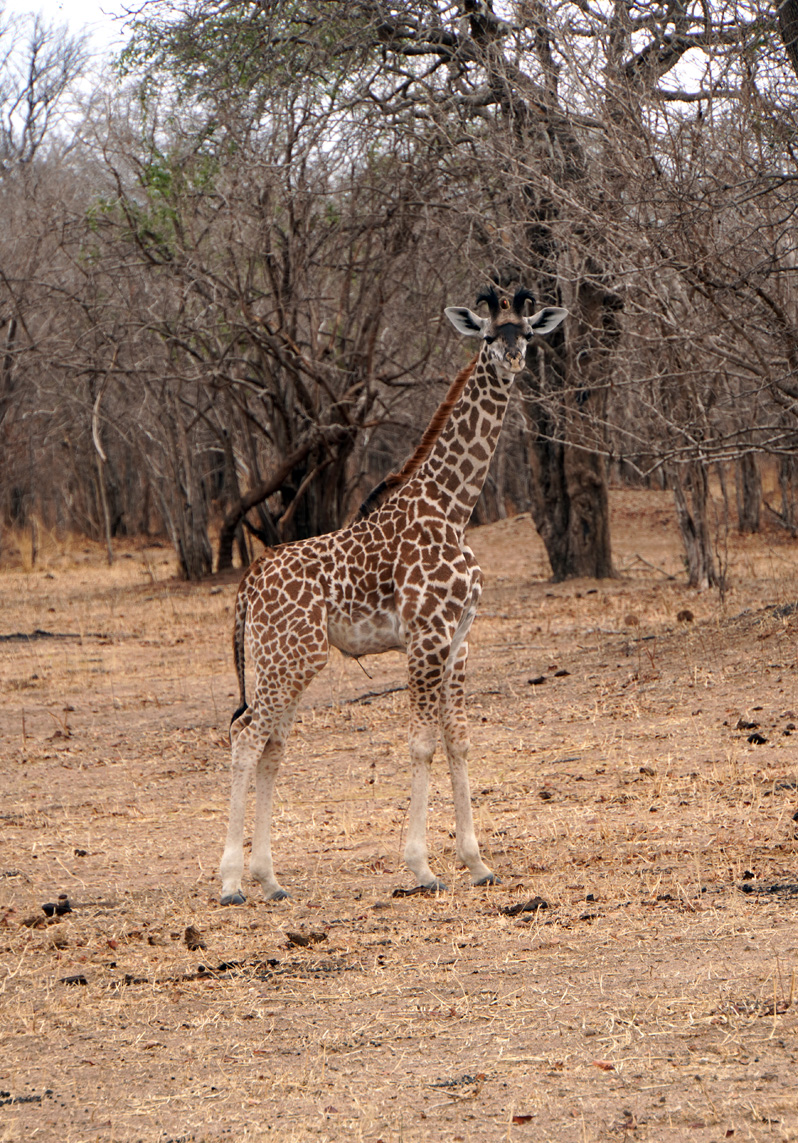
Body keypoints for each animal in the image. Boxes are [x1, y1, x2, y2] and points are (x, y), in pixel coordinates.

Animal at [219, 287, 567, 904]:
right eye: (487, 334)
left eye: (527, 331)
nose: (511, 360)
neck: (454, 508)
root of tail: (250, 580)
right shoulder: (427, 636)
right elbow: (422, 742)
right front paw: (422, 868)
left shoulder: (459, 641)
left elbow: (458, 740)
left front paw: (477, 863)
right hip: (294, 657)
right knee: (244, 736)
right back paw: (232, 882)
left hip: (279, 659)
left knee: (271, 746)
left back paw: (270, 879)